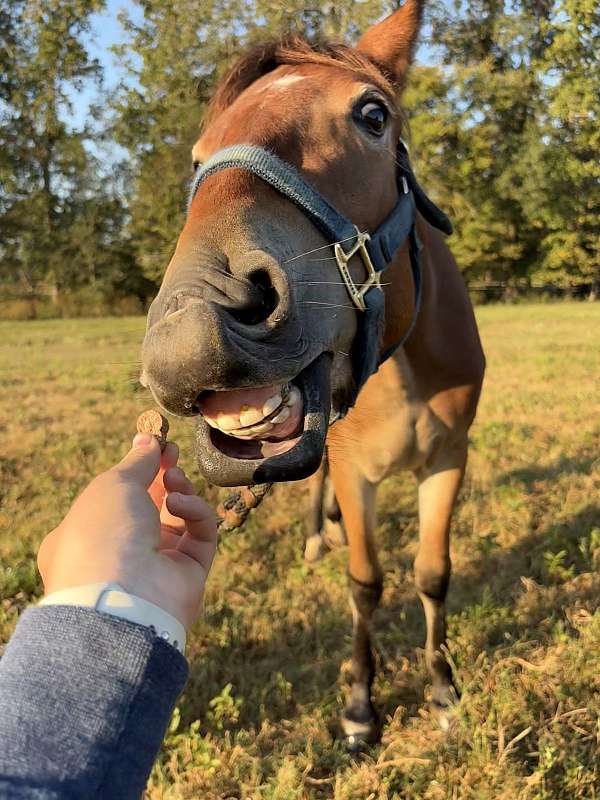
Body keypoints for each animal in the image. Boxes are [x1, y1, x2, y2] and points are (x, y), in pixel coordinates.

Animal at [141, 0, 485, 749]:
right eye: (198, 157)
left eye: (373, 115)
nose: (188, 335)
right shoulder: (354, 468)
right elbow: (366, 580)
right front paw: (360, 706)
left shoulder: (450, 457)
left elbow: (433, 574)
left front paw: (443, 692)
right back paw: (315, 536)